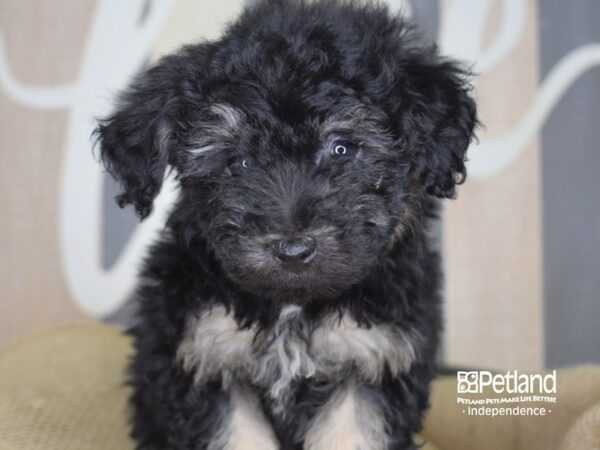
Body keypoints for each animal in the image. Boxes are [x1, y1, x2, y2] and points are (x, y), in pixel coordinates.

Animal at [95, 0, 478, 450]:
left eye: (342, 148)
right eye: (239, 163)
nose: (293, 250)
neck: (293, 306)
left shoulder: (373, 355)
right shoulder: (207, 352)